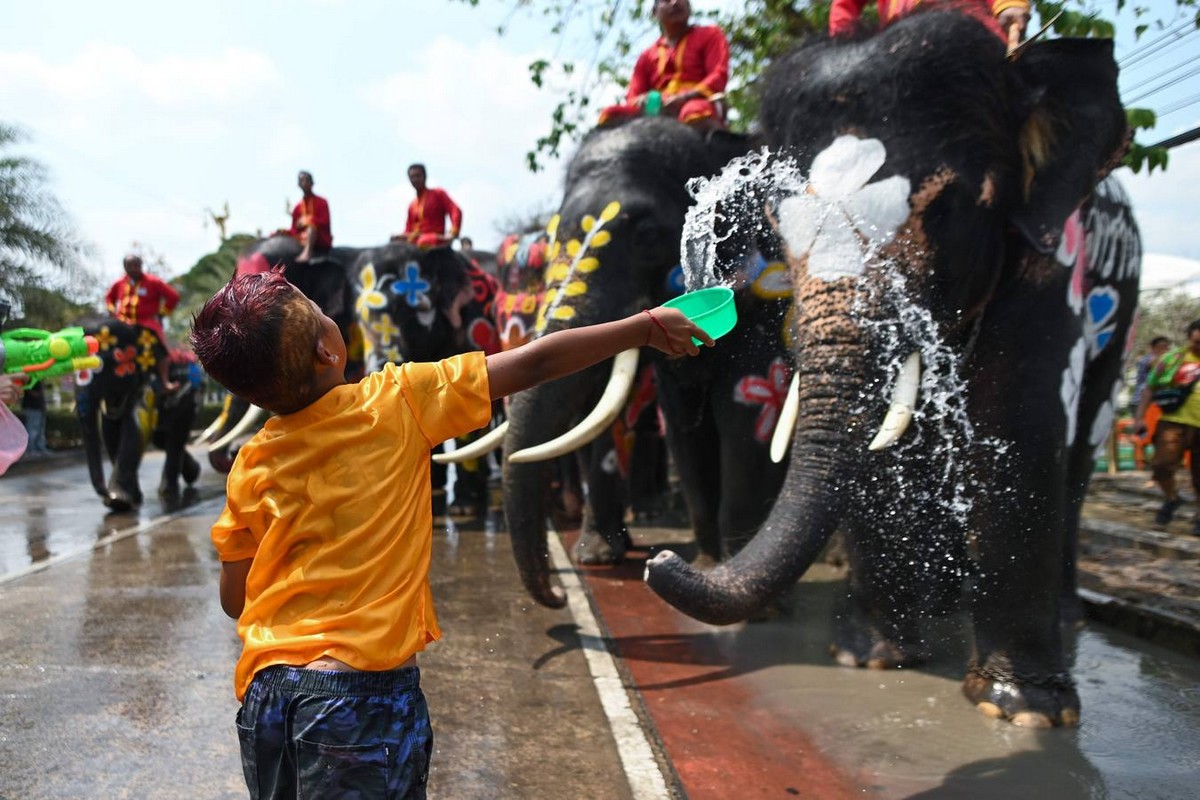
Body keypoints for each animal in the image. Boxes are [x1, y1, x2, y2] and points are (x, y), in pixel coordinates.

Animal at [74, 316, 200, 510]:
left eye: (98, 367)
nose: (104, 493)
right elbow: (110, 433)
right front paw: (131, 499)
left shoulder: (149, 382)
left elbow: (137, 427)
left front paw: (117, 501)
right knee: (162, 439)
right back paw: (193, 473)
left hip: (190, 396)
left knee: (176, 437)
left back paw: (167, 492)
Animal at [487, 115, 796, 606]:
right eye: (552, 240)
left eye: (648, 237)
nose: (557, 596)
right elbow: (680, 420)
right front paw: (694, 564)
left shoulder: (767, 286)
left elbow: (742, 413)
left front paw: (744, 596)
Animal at [648, 7, 1142, 734]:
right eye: (775, 230)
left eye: (946, 209)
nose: (661, 559)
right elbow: (884, 441)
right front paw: (869, 658)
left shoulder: (1053, 253)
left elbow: (1023, 420)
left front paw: (1024, 711)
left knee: (1082, 441)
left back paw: (1063, 617)